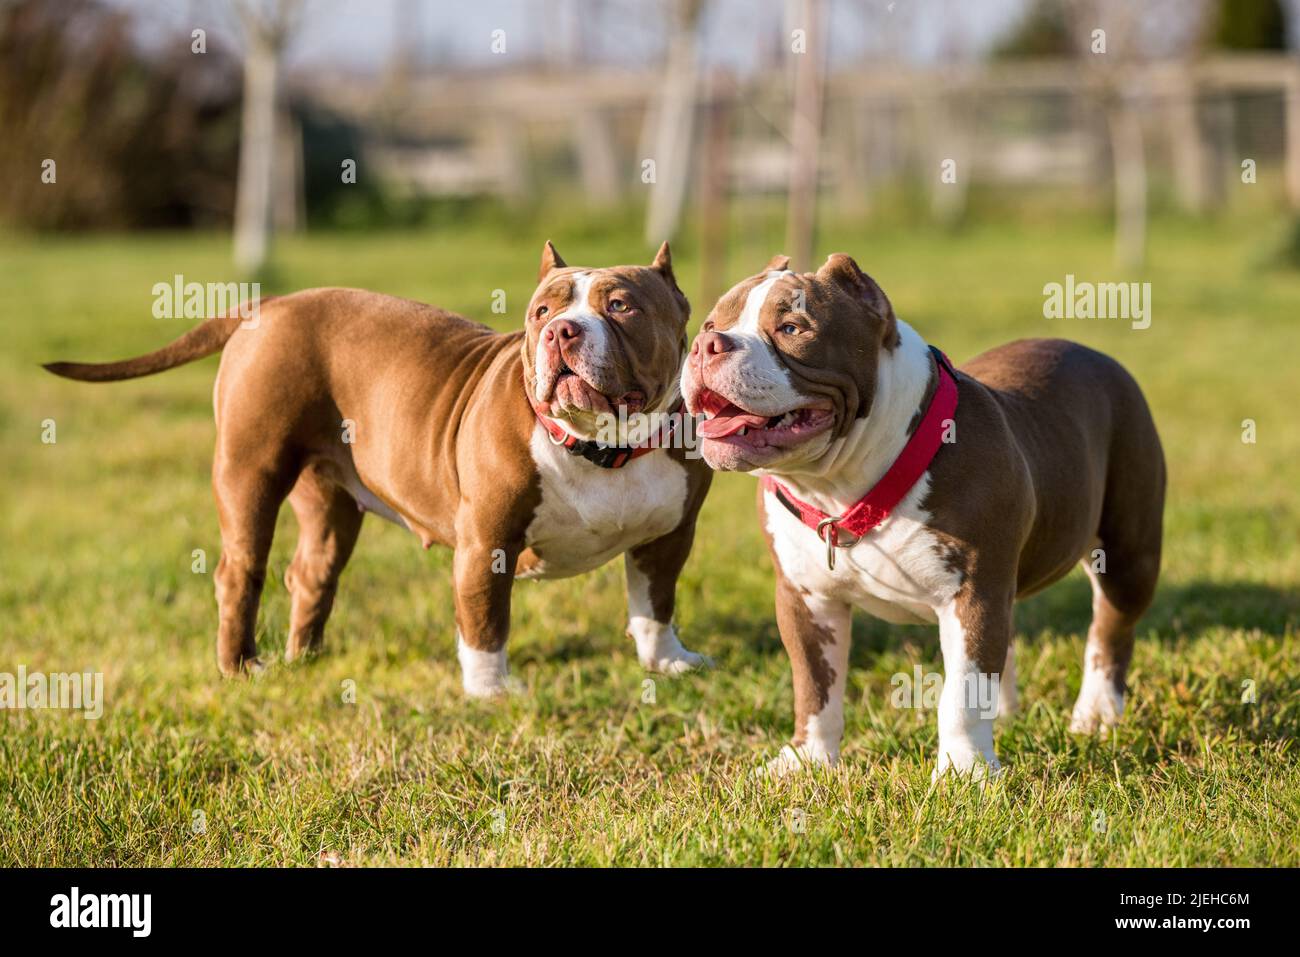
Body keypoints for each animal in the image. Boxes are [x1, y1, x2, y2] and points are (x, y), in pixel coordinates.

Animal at [45, 237, 712, 686]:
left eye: (621, 306)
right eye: (541, 313)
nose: (561, 332)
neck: (602, 448)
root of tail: (270, 306)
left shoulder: (670, 538)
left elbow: (655, 606)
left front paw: (667, 662)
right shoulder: (486, 542)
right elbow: (485, 619)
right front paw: (491, 693)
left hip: (330, 498)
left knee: (312, 572)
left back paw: (307, 658)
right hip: (250, 472)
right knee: (240, 571)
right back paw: (241, 666)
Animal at [686, 252, 1164, 780]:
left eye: (792, 327)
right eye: (710, 324)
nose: (706, 344)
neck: (840, 486)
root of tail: (1094, 354)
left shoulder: (972, 594)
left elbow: (962, 695)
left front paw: (965, 771)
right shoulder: (806, 598)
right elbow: (814, 686)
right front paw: (806, 760)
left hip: (1128, 552)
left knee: (1109, 629)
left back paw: (1097, 714)